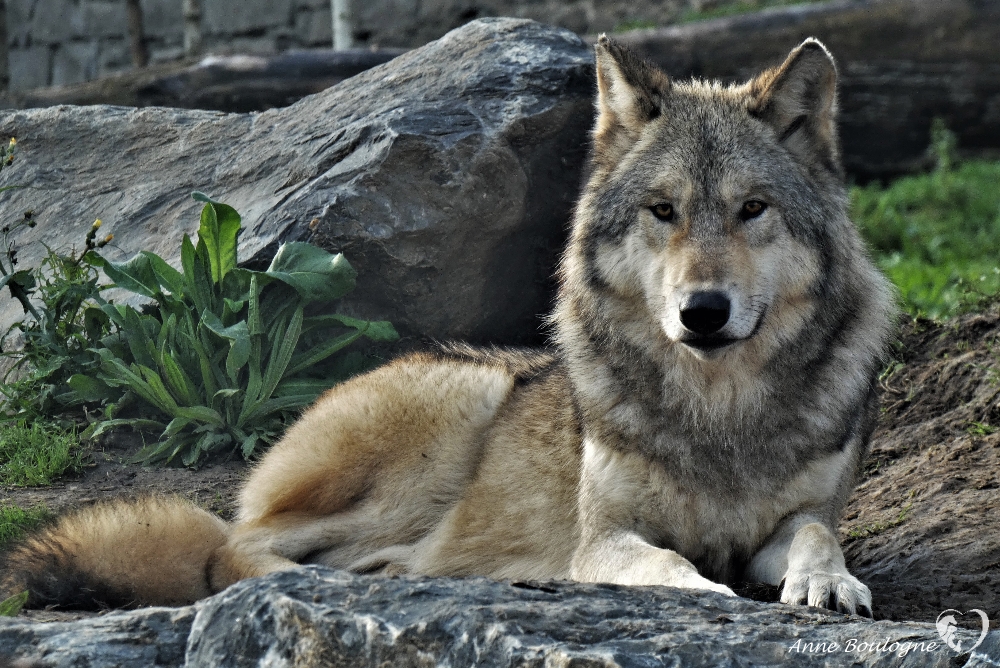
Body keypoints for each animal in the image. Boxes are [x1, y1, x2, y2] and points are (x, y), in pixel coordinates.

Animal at [1, 34, 892, 612]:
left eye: (752, 209)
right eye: (663, 210)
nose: (701, 313)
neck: (718, 412)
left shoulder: (798, 517)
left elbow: (818, 536)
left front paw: (829, 582)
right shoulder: (605, 536)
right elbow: (669, 565)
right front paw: (709, 591)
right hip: (452, 414)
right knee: (234, 552)